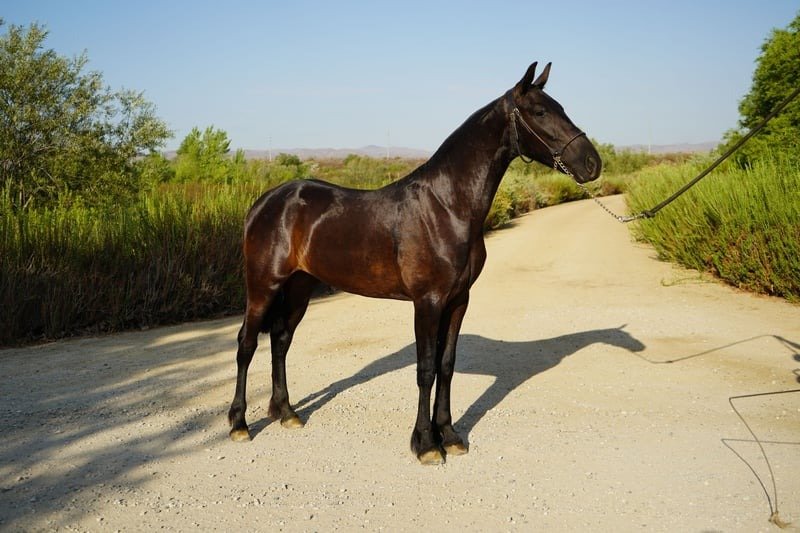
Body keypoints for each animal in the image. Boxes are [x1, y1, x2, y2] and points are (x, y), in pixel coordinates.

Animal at [227, 61, 602, 465]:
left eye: (560, 107)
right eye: (540, 112)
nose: (592, 163)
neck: (447, 206)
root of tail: (265, 202)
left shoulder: (458, 301)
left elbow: (446, 366)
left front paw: (450, 435)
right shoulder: (427, 302)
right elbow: (425, 370)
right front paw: (425, 444)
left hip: (300, 286)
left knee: (280, 340)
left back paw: (287, 413)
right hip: (263, 285)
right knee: (247, 343)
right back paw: (239, 424)